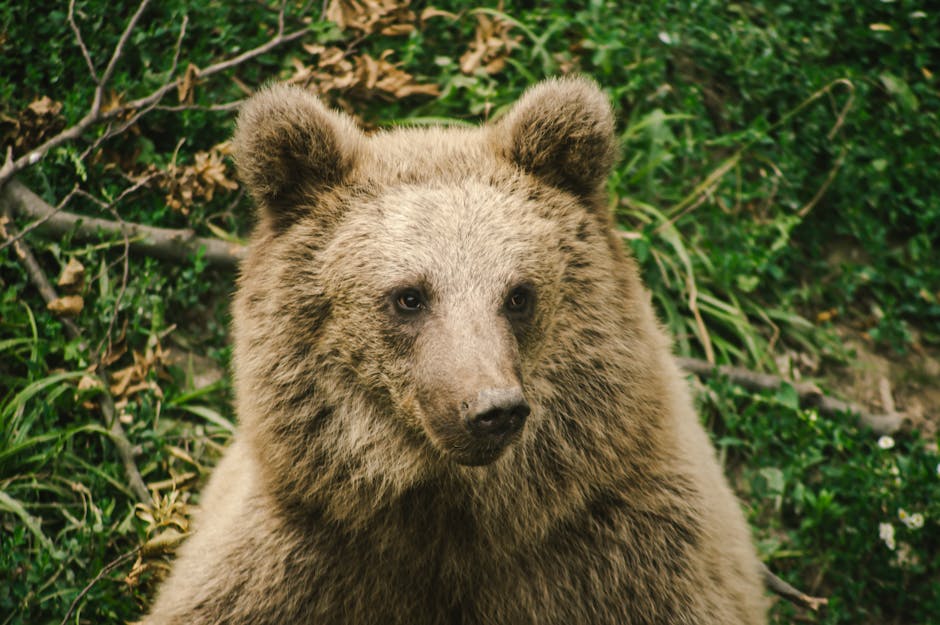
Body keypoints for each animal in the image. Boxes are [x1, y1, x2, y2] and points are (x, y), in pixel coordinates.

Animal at [140, 77, 769, 625]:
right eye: (409, 296)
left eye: (519, 294)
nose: (492, 409)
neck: (454, 519)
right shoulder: (298, 559)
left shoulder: (625, 560)